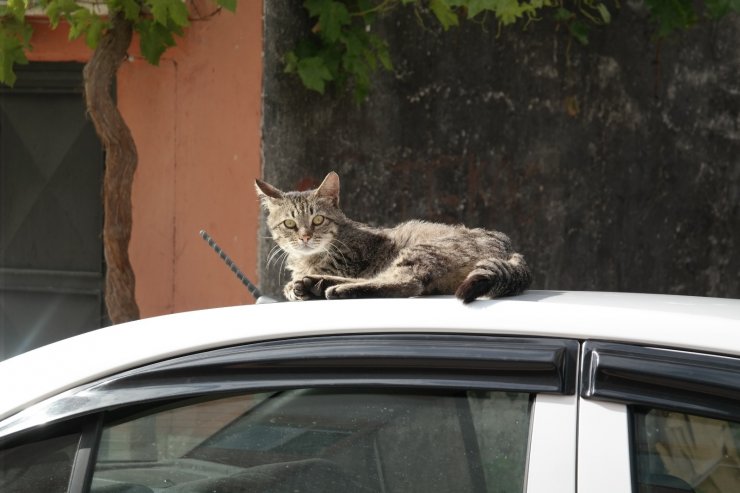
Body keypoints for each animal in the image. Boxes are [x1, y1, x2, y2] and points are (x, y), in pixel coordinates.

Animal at [256, 171, 532, 302]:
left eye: (318, 220)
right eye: (289, 224)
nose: (305, 237)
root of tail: (510, 247)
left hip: (421, 251)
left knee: (407, 283)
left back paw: (330, 287)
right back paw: (316, 283)